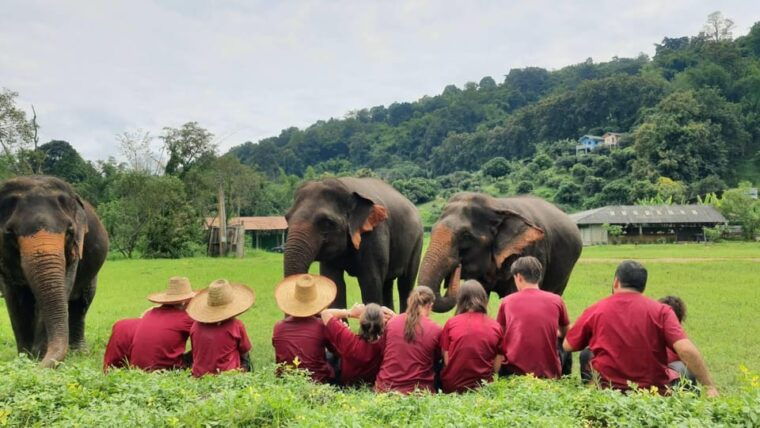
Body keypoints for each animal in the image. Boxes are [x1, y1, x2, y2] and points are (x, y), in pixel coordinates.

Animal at [0, 176, 108, 367]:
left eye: (70, 231)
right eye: (9, 233)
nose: (41, 367)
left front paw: (37, 357)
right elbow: (14, 298)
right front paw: (26, 359)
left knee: (81, 302)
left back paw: (79, 353)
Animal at [284, 177, 423, 312]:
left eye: (327, 222)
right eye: (287, 218)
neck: (345, 186)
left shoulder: (374, 233)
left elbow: (370, 283)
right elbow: (334, 282)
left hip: (417, 241)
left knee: (405, 283)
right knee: (387, 284)